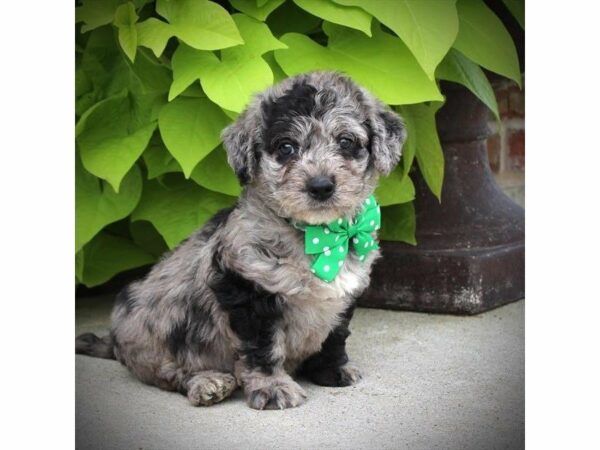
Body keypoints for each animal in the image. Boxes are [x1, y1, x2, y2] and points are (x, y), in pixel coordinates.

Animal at [75, 71, 404, 412]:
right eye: (286, 147)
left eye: (346, 141)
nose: (321, 186)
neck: (319, 237)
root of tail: (114, 341)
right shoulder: (246, 288)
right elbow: (262, 348)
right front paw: (273, 387)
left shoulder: (344, 297)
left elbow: (334, 337)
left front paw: (332, 370)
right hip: (151, 335)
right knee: (169, 373)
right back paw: (208, 383)